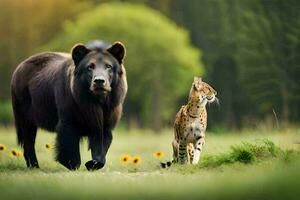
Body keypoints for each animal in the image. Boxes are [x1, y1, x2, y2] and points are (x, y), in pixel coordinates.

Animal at [10, 41, 127, 171]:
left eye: (108, 66)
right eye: (90, 67)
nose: (99, 81)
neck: (96, 100)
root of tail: (19, 67)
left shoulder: (107, 115)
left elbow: (101, 142)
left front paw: (92, 163)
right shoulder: (70, 113)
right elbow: (68, 140)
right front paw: (71, 163)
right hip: (24, 107)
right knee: (28, 138)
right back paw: (34, 165)